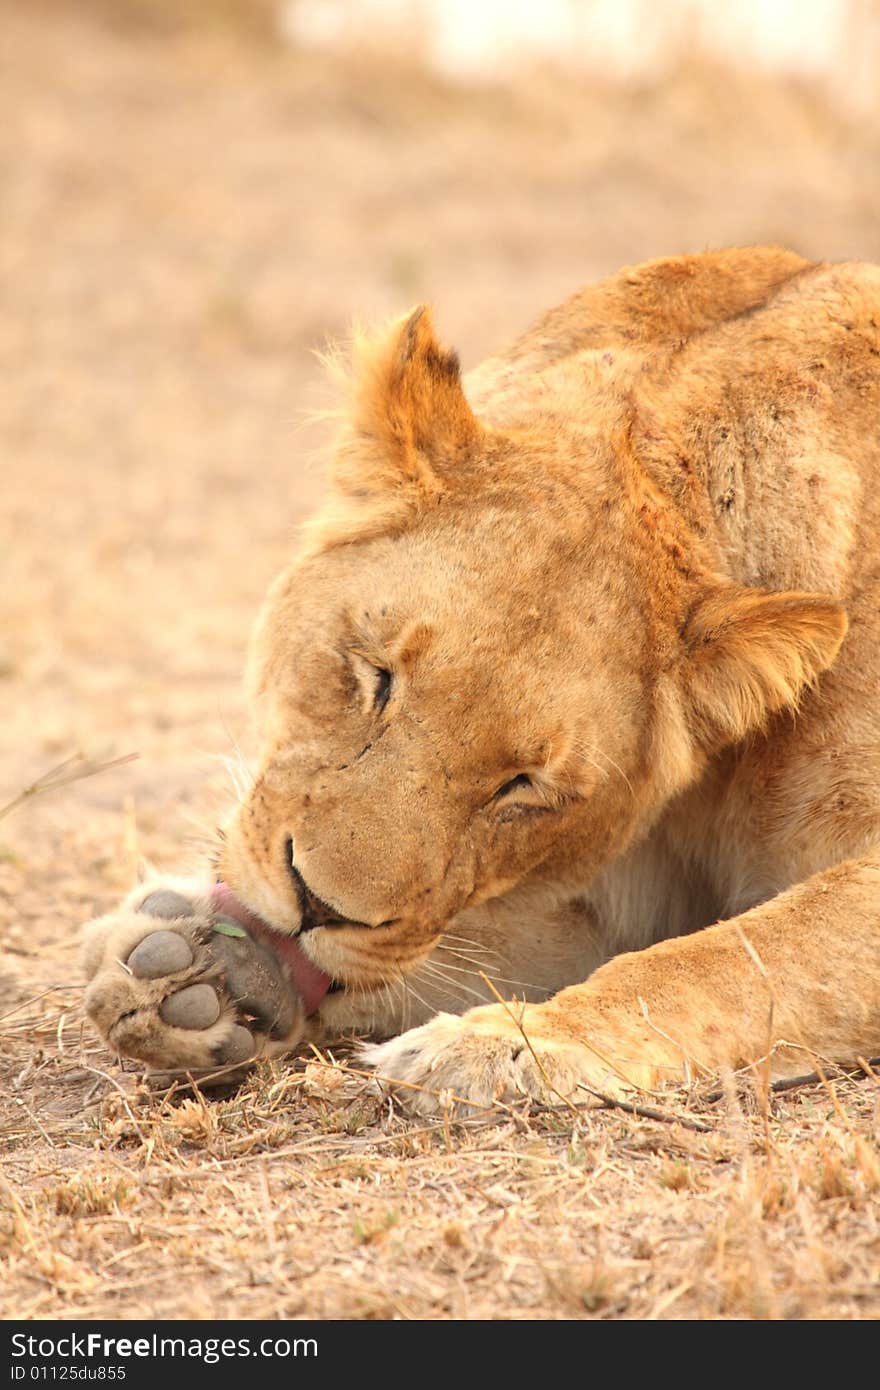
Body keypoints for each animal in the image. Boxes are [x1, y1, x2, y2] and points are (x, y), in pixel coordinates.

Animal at [82, 250, 878, 1112]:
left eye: (522, 786)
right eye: (376, 675)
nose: (314, 907)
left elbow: (728, 958)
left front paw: (503, 1046)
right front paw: (204, 967)